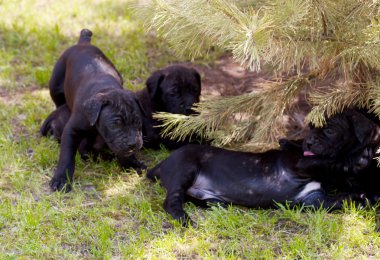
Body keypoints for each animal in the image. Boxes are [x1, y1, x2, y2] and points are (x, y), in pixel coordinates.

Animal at [46, 29, 144, 192]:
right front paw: (62, 179)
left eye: (138, 122)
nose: (132, 143)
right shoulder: (72, 130)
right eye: (115, 124)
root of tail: (83, 43)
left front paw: (130, 162)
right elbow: (66, 156)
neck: (106, 89)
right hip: (55, 84)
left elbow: (122, 151)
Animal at [148, 109, 380, 225]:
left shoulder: (314, 199)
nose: (308, 142)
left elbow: (344, 200)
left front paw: (364, 197)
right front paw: (358, 159)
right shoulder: (301, 163)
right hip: (185, 168)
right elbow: (328, 162)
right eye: (310, 127)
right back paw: (182, 218)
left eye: (330, 130)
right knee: (172, 200)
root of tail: (161, 164)